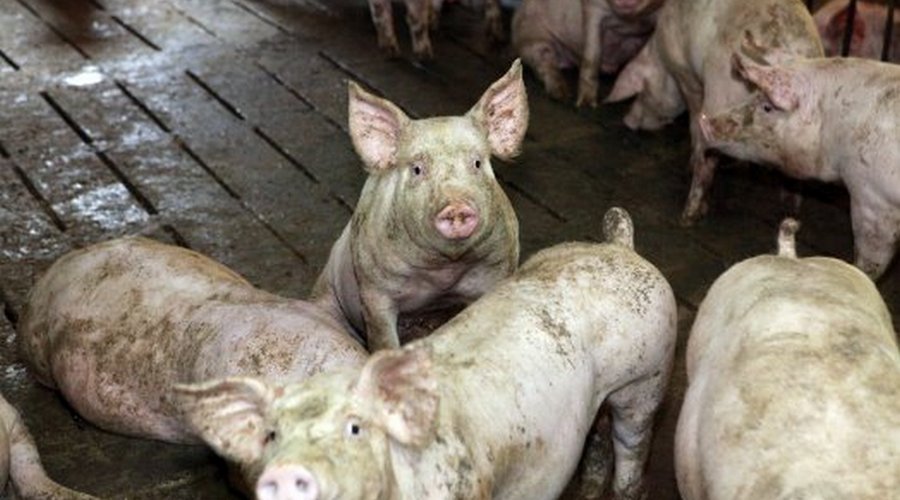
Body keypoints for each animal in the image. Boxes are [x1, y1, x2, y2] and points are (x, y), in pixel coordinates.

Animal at [176, 207, 678, 500]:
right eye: (272, 435)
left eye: (355, 430)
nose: (287, 475)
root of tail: (620, 247)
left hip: (648, 374)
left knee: (632, 444)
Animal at [310, 59, 526, 351]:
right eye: (417, 169)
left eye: (477, 163)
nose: (456, 205)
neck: (443, 272)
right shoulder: (373, 290)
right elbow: (383, 339)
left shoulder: (501, 266)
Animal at [512, 0, 662, 105]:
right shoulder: (592, 9)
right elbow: (592, 53)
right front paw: (586, 104)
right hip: (532, 39)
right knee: (544, 65)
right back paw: (563, 95)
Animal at [605, 0, 823, 225]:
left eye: (642, 92)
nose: (628, 120)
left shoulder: (685, 74)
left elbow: (693, 116)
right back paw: (791, 209)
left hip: (720, 95)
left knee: (707, 160)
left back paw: (688, 216)